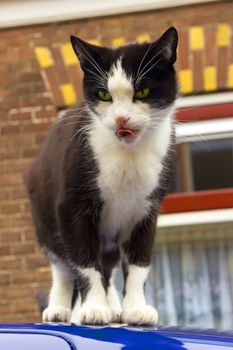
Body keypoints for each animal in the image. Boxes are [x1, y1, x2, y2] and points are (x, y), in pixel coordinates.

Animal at [26, 26, 177, 326]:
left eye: (143, 90)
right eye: (104, 95)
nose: (121, 119)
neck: (128, 155)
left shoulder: (146, 209)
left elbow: (139, 262)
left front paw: (135, 309)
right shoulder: (72, 206)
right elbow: (84, 262)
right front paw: (94, 308)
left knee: (107, 266)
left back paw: (115, 307)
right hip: (44, 216)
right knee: (62, 264)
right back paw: (60, 308)